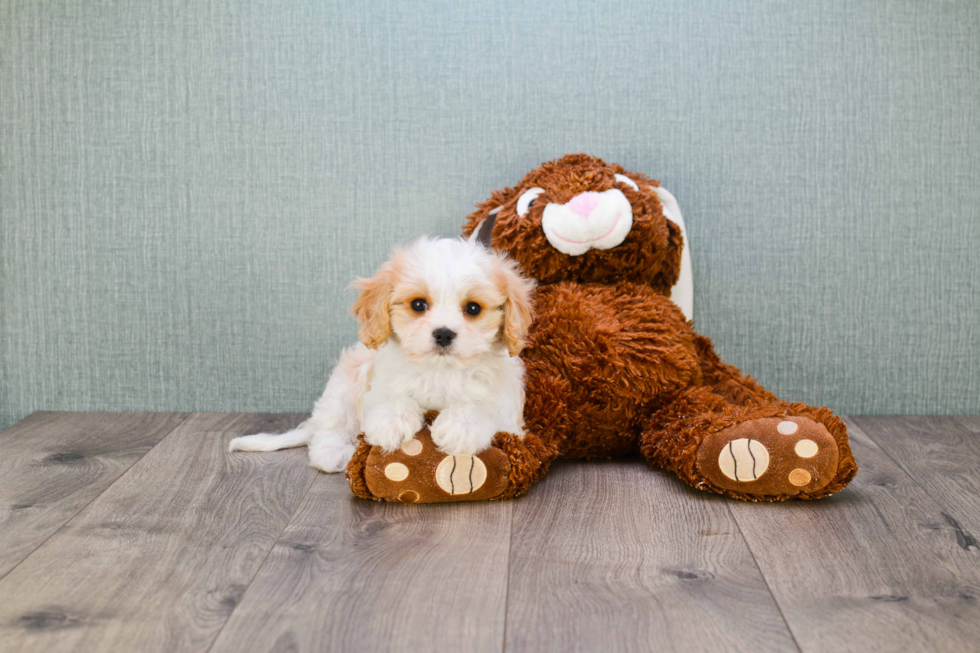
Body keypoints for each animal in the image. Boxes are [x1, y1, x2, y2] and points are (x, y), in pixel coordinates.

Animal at [228, 237, 536, 472]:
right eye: (418, 304)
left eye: (473, 308)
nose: (444, 333)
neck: (440, 370)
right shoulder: (377, 380)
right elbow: (389, 397)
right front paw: (392, 422)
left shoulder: (509, 410)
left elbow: (483, 404)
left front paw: (461, 426)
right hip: (341, 389)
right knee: (328, 430)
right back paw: (336, 454)